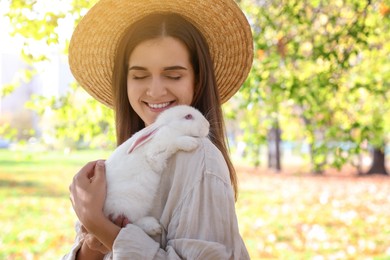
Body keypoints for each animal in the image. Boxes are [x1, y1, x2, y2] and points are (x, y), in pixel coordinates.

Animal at [102, 105, 209, 236]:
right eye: (188, 116)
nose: (208, 125)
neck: (169, 128)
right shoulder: (155, 154)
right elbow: (172, 144)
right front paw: (190, 143)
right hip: (128, 204)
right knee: (132, 220)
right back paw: (153, 227)